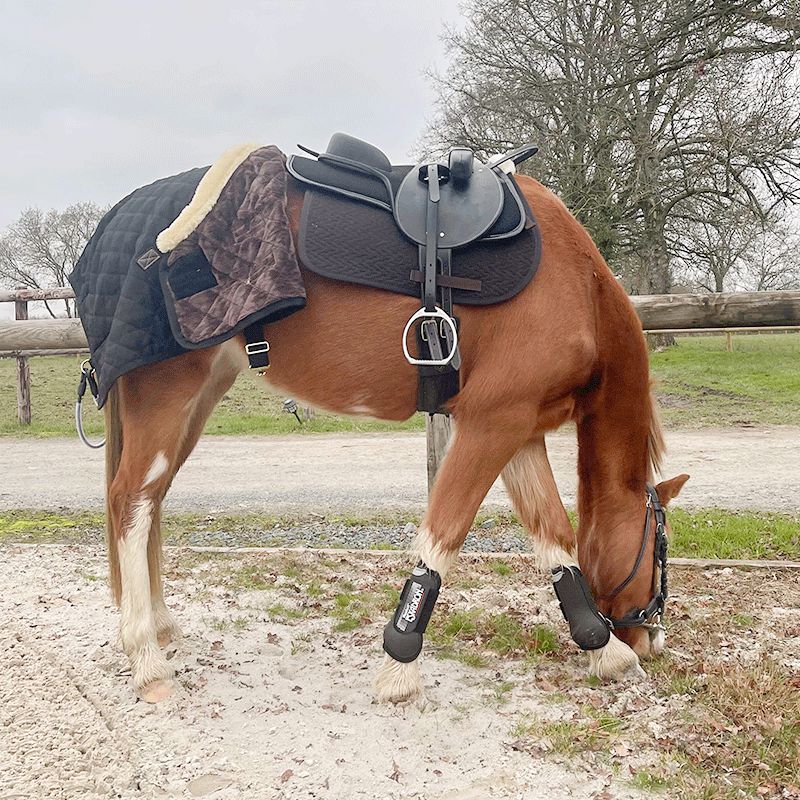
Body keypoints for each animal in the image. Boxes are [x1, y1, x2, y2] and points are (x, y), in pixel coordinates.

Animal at [100, 170, 688, 704]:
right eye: (662, 550)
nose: (651, 640)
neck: (577, 283)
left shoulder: (519, 429)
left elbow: (554, 539)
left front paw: (603, 650)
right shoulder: (490, 422)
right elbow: (443, 538)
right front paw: (399, 668)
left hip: (194, 403)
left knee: (150, 501)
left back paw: (159, 627)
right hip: (167, 395)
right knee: (130, 502)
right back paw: (147, 661)